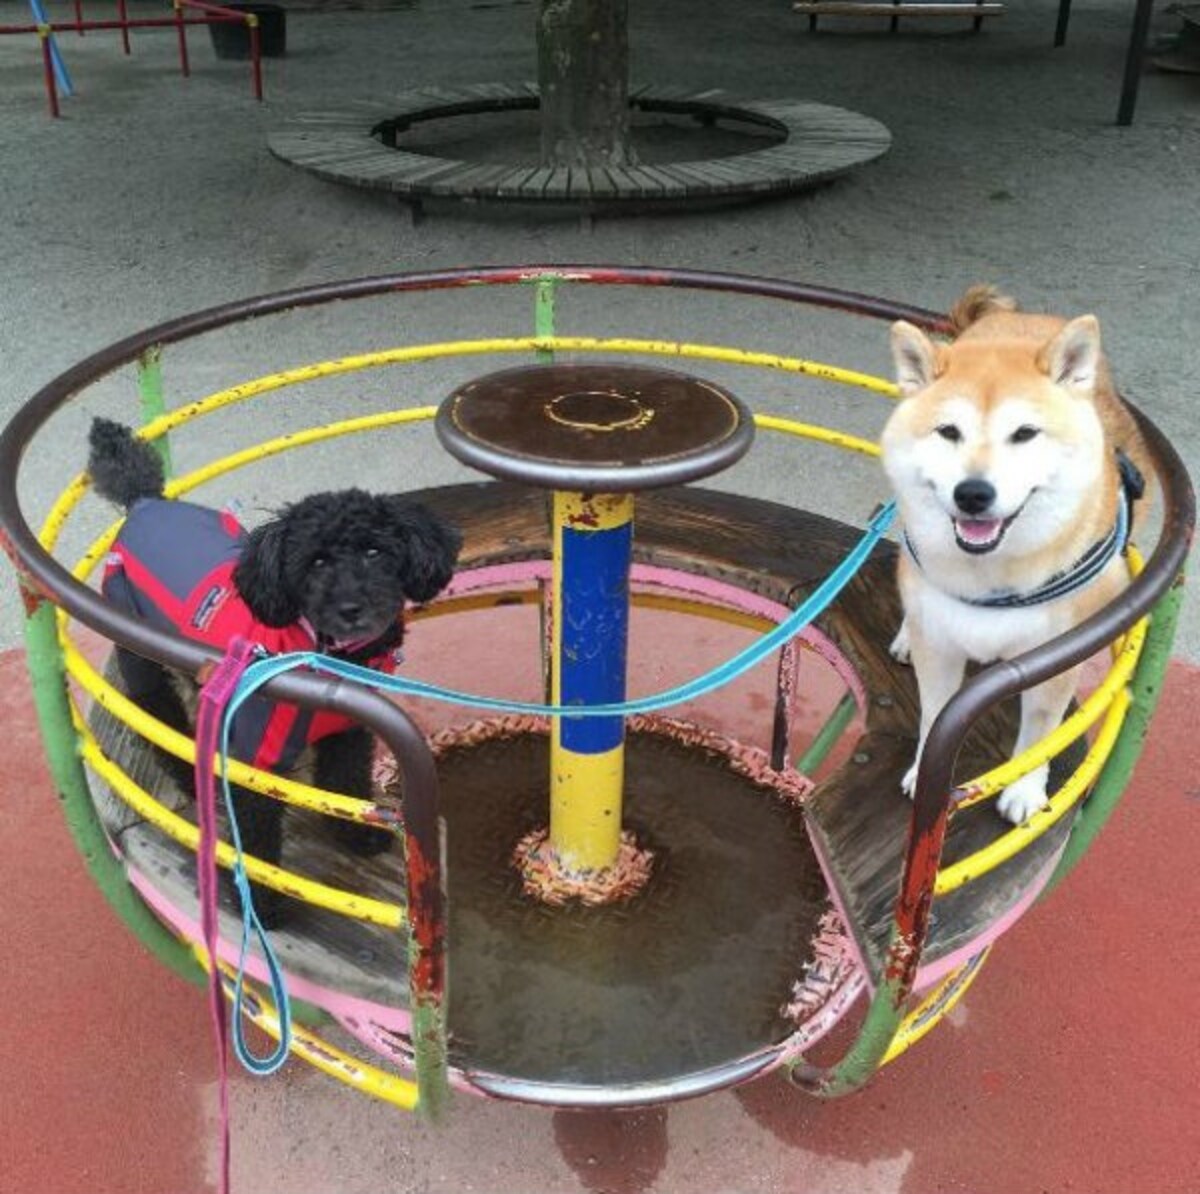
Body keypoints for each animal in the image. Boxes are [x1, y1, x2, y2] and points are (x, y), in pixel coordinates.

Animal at [888, 283, 1147, 820]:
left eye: (1025, 433)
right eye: (949, 431)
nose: (973, 493)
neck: (991, 576)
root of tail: (1020, 318)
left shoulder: (1058, 656)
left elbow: (1042, 732)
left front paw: (1024, 789)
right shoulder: (939, 645)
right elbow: (933, 715)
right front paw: (924, 771)